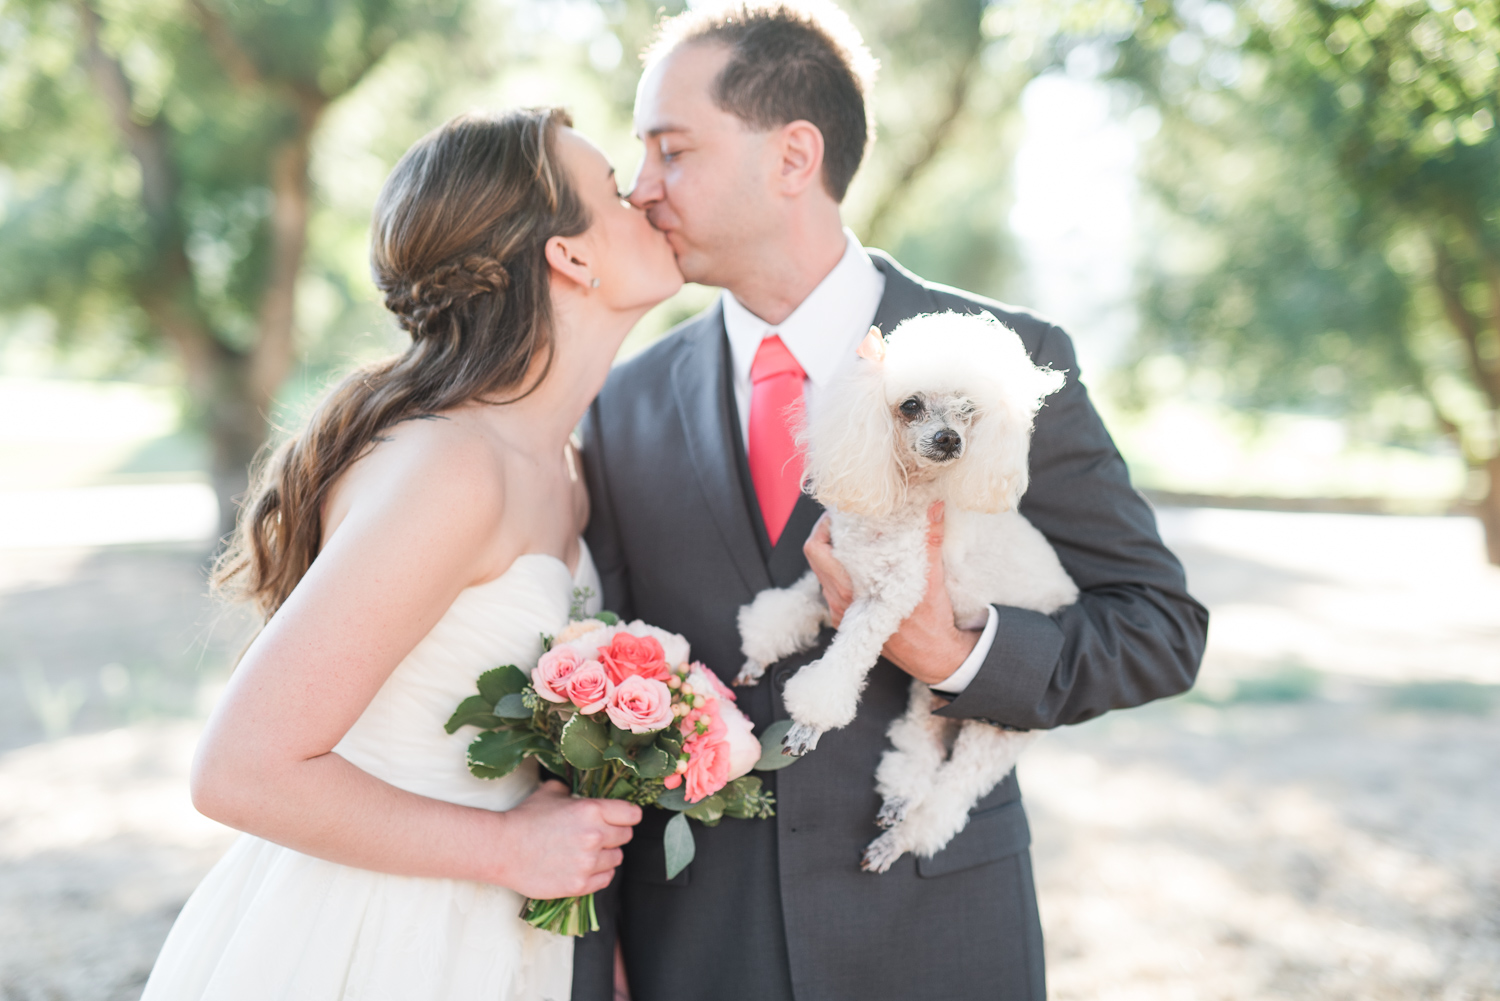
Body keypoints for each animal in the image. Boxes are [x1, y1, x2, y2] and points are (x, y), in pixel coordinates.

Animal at [732, 309, 1074, 870]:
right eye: (910, 405)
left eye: (968, 411)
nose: (950, 440)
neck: (902, 498)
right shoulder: (836, 578)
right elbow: (787, 611)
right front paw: (757, 657)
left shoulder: (887, 597)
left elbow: (840, 667)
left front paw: (809, 725)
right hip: (926, 697)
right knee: (920, 749)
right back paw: (897, 801)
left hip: (997, 732)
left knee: (948, 800)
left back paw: (900, 839)